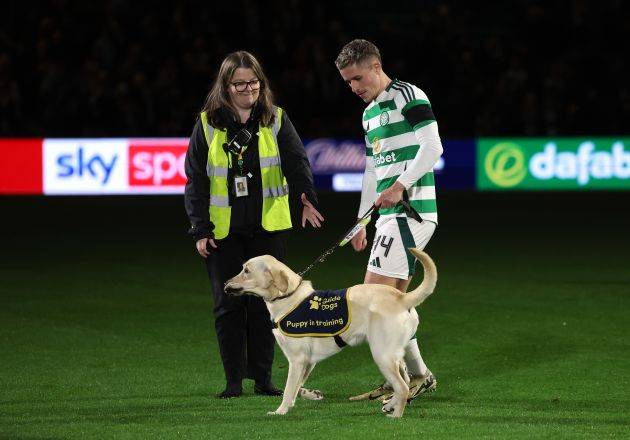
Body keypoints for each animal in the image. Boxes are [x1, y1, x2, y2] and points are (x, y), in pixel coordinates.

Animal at [225, 246, 436, 418]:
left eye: (246, 271)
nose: (226, 283)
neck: (287, 297)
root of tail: (402, 297)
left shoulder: (297, 359)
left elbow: (288, 388)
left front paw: (280, 411)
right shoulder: (308, 362)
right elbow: (296, 388)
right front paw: (309, 395)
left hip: (382, 354)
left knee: (402, 386)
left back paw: (396, 415)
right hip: (394, 355)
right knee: (405, 380)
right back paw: (391, 404)